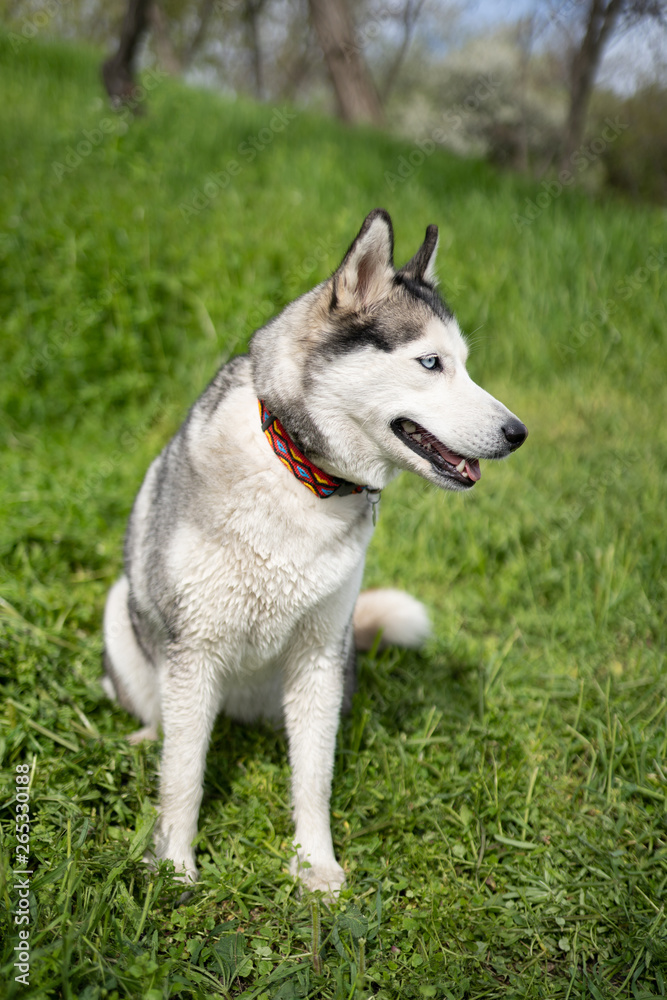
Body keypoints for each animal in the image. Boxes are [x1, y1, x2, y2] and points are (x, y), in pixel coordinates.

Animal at [102, 207, 528, 896]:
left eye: (465, 365)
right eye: (430, 362)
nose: (517, 433)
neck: (301, 477)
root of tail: (240, 719)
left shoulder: (318, 658)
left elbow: (313, 777)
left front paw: (314, 865)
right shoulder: (196, 651)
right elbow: (184, 778)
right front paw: (175, 868)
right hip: (126, 614)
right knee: (162, 726)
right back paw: (142, 738)